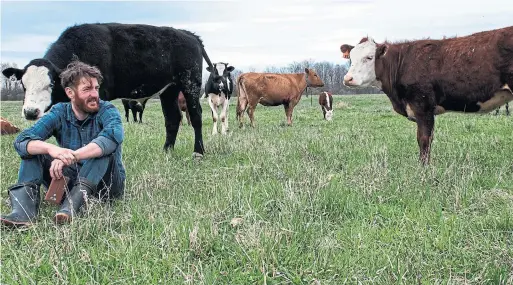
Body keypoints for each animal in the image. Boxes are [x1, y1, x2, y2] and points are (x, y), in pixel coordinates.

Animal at [2, 23, 214, 158]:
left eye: (51, 83)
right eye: (23, 84)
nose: (30, 112)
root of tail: (189, 35)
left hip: (190, 83)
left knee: (196, 115)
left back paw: (199, 152)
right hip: (169, 90)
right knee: (172, 119)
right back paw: (167, 151)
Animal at [342, 26, 512, 164]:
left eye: (369, 57)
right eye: (350, 58)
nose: (347, 79)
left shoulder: (423, 107)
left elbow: (424, 140)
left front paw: (423, 168)